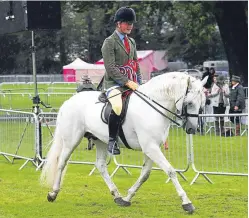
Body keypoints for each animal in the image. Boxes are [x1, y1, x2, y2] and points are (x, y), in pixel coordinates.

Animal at [40, 72, 207, 214]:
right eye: (189, 103)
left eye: (202, 104)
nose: (192, 129)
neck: (152, 108)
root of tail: (69, 101)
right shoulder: (151, 147)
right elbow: (171, 171)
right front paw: (187, 203)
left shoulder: (151, 147)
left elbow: (145, 174)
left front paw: (127, 198)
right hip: (71, 140)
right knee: (62, 162)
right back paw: (53, 193)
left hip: (100, 140)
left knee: (100, 165)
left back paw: (117, 195)